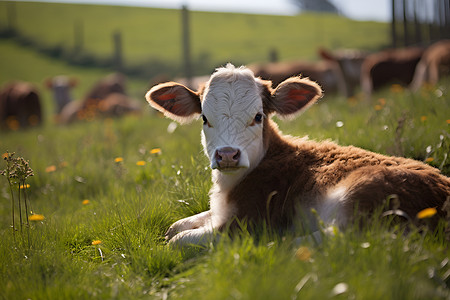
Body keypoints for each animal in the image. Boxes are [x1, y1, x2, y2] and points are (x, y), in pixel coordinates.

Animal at [147, 63, 450, 246]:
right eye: (204, 118)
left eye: (258, 116)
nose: (228, 155)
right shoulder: (221, 212)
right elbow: (176, 225)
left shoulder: (245, 222)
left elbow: (177, 241)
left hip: (364, 196)